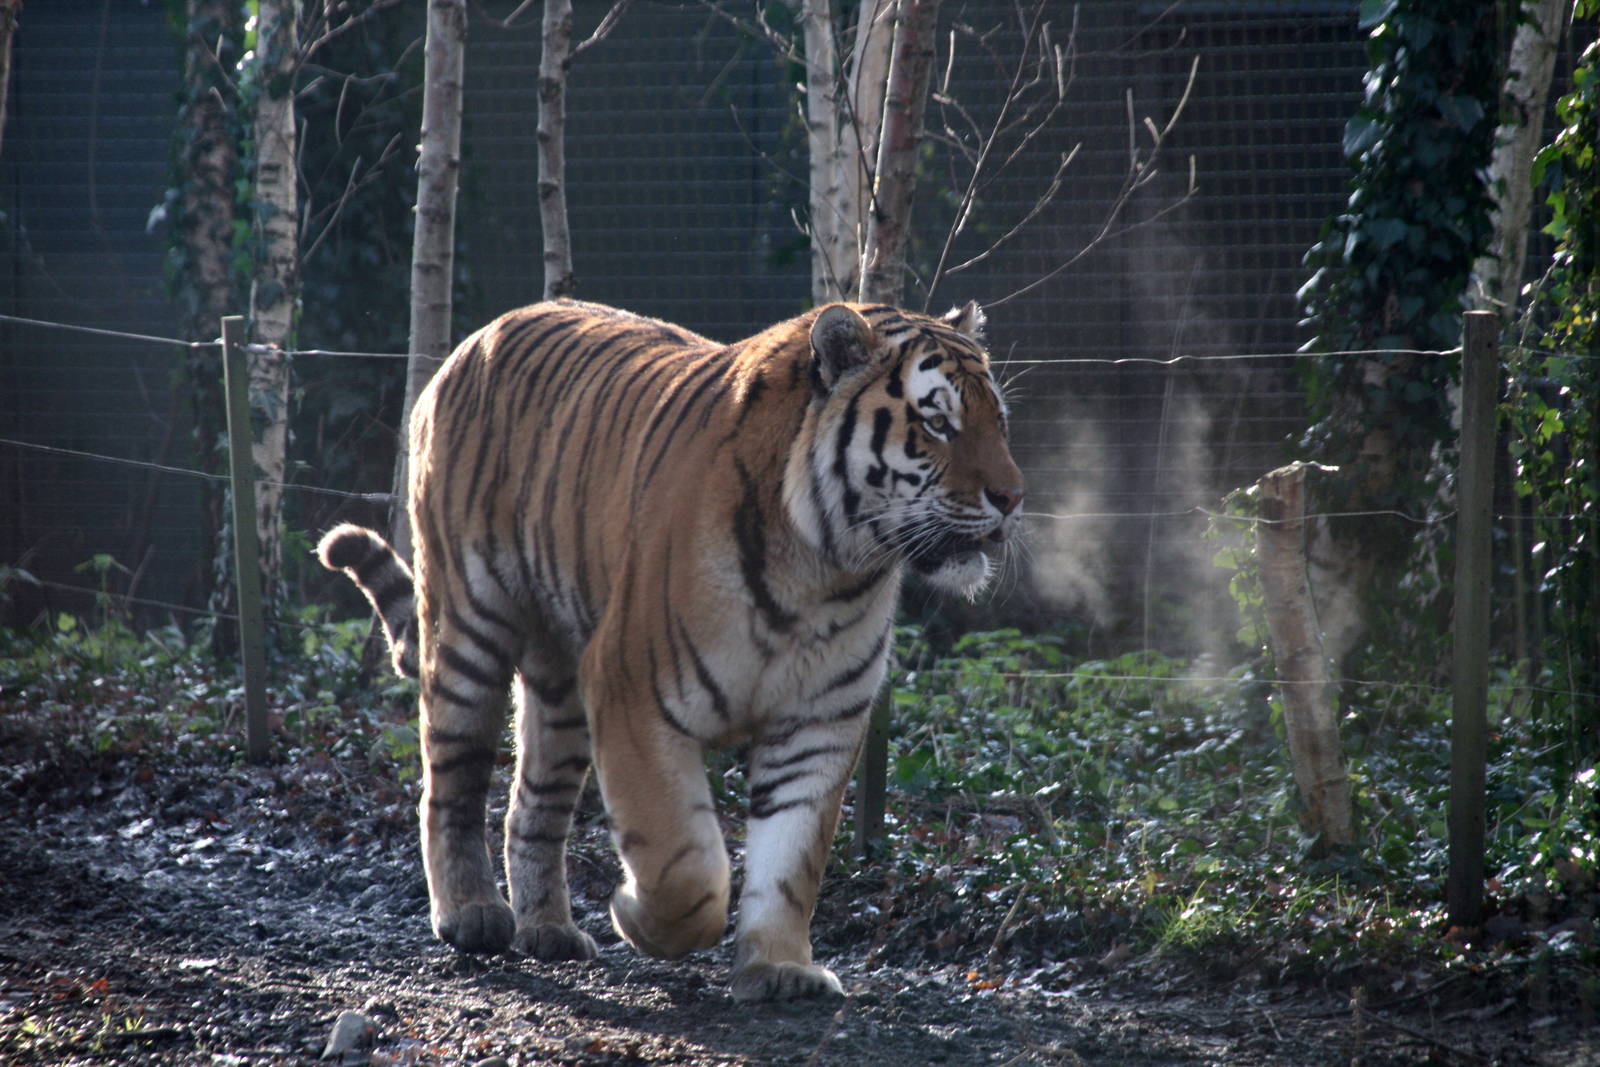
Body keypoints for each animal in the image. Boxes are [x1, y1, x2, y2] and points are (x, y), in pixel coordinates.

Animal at [318, 298, 1023, 1001]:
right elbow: (683, 862)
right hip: (469, 630)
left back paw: (549, 929)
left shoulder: (819, 724)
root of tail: (482, 334)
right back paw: (471, 912)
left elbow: (791, 862)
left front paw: (779, 968)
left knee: (533, 804)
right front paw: (636, 913)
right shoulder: (632, 693)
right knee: (451, 783)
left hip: (561, 683)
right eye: (936, 422)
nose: (1013, 499)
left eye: (999, 420)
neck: (827, 572)